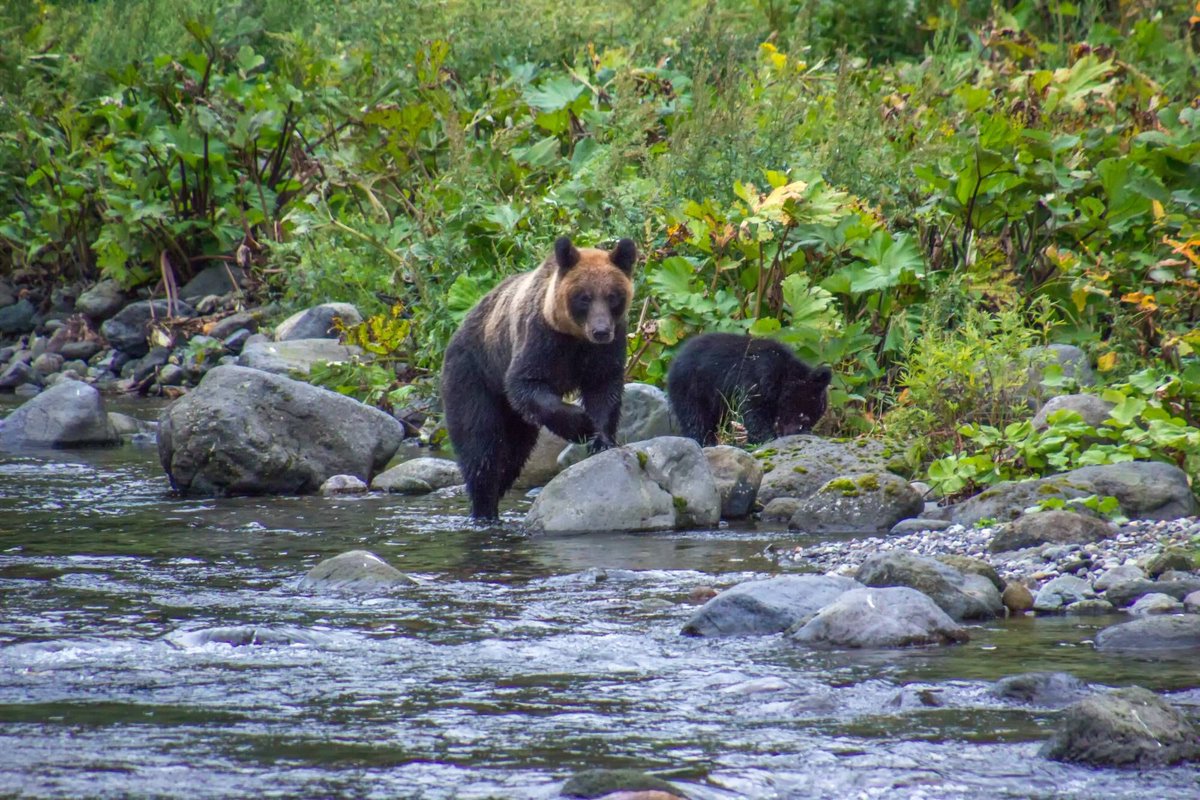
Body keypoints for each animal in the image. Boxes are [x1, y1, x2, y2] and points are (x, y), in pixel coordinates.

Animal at [436, 236, 633, 520]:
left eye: (613, 296)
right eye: (584, 297)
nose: (600, 330)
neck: (574, 337)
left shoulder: (605, 351)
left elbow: (604, 390)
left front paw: (601, 440)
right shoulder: (540, 339)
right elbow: (524, 383)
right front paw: (581, 425)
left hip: (511, 414)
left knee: (512, 456)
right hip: (473, 374)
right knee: (480, 446)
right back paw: (483, 509)